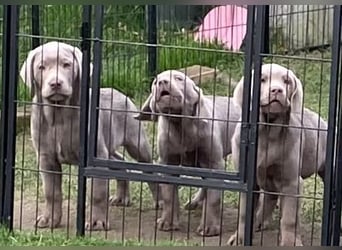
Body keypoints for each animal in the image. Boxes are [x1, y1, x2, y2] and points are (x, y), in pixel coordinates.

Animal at [20, 41, 160, 230]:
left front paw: (97, 222)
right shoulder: (46, 158)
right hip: (107, 148)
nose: (55, 83)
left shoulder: (94, 154)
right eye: (41, 67)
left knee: (149, 168)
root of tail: (119, 92)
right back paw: (121, 198)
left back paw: (160, 200)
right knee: (120, 161)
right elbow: (51, 192)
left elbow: (97, 192)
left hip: (136, 142)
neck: (59, 114)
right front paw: (49, 219)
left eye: (66, 65)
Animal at [134, 70, 240, 236]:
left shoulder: (214, 162)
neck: (180, 125)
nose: (162, 82)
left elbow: (213, 197)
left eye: (179, 78)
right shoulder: (167, 162)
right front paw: (167, 222)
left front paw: (209, 227)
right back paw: (195, 202)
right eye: (155, 81)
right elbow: (169, 195)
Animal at [227, 63, 326, 246]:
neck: (268, 133)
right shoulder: (248, 180)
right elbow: (244, 212)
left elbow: (289, 218)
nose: (276, 90)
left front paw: (289, 243)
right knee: (269, 199)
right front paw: (239, 238)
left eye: (286, 81)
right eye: (262, 79)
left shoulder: (291, 182)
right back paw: (259, 222)